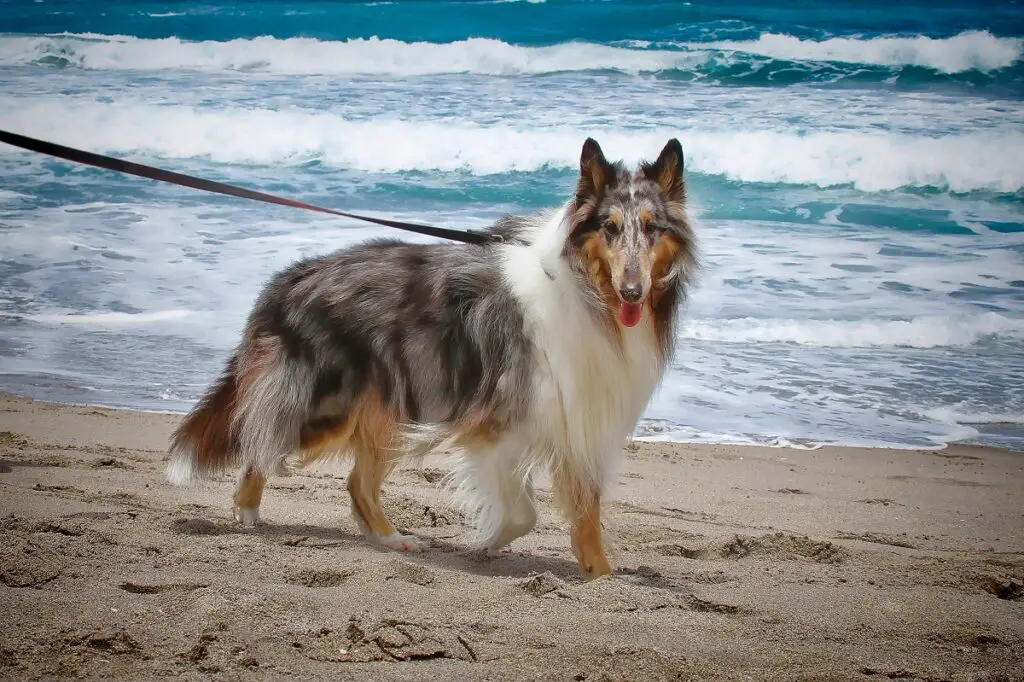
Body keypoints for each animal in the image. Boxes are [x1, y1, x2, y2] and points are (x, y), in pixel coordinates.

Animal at [165, 137, 696, 573]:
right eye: (609, 228)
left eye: (651, 228)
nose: (632, 292)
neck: (586, 292)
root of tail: (288, 279)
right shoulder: (497, 423)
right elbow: (523, 512)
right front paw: (484, 543)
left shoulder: (578, 425)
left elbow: (584, 518)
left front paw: (601, 576)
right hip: (328, 406)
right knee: (260, 442)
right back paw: (248, 513)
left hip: (386, 407)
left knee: (357, 482)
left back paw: (390, 539)